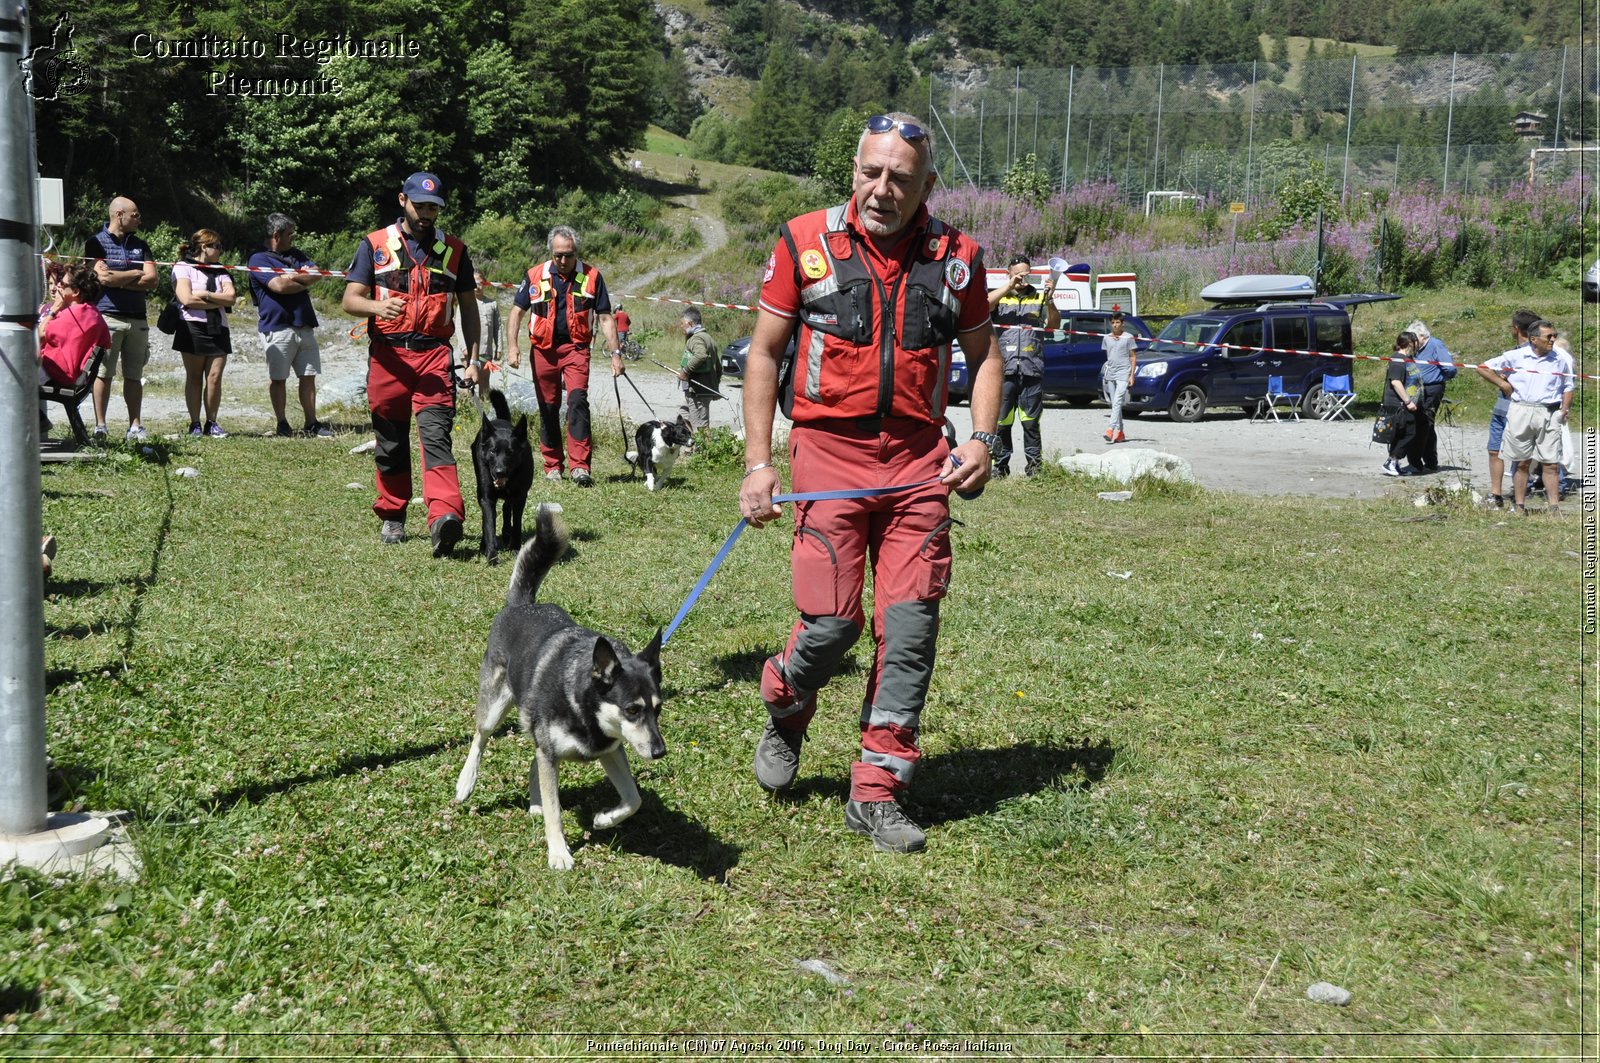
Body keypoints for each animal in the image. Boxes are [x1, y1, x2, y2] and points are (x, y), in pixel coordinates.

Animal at [454, 502, 665, 870]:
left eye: (659, 709)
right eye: (632, 710)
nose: (659, 751)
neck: (583, 704)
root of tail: (521, 605)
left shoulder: (609, 751)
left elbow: (633, 798)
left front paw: (604, 820)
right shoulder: (553, 752)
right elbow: (556, 812)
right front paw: (558, 853)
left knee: (531, 763)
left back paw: (535, 803)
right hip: (495, 706)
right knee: (480, 738)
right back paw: (466, 782)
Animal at [470, 385, 534, 560]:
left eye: (510, 452)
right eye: (493, 451)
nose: (499, 472)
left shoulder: (520, 496)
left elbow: (516, 522)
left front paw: (515, 548)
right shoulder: (486, 498)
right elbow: (489, 525)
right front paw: (491, 554)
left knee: (506, 508)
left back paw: (506, 534)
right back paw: (484, 545)